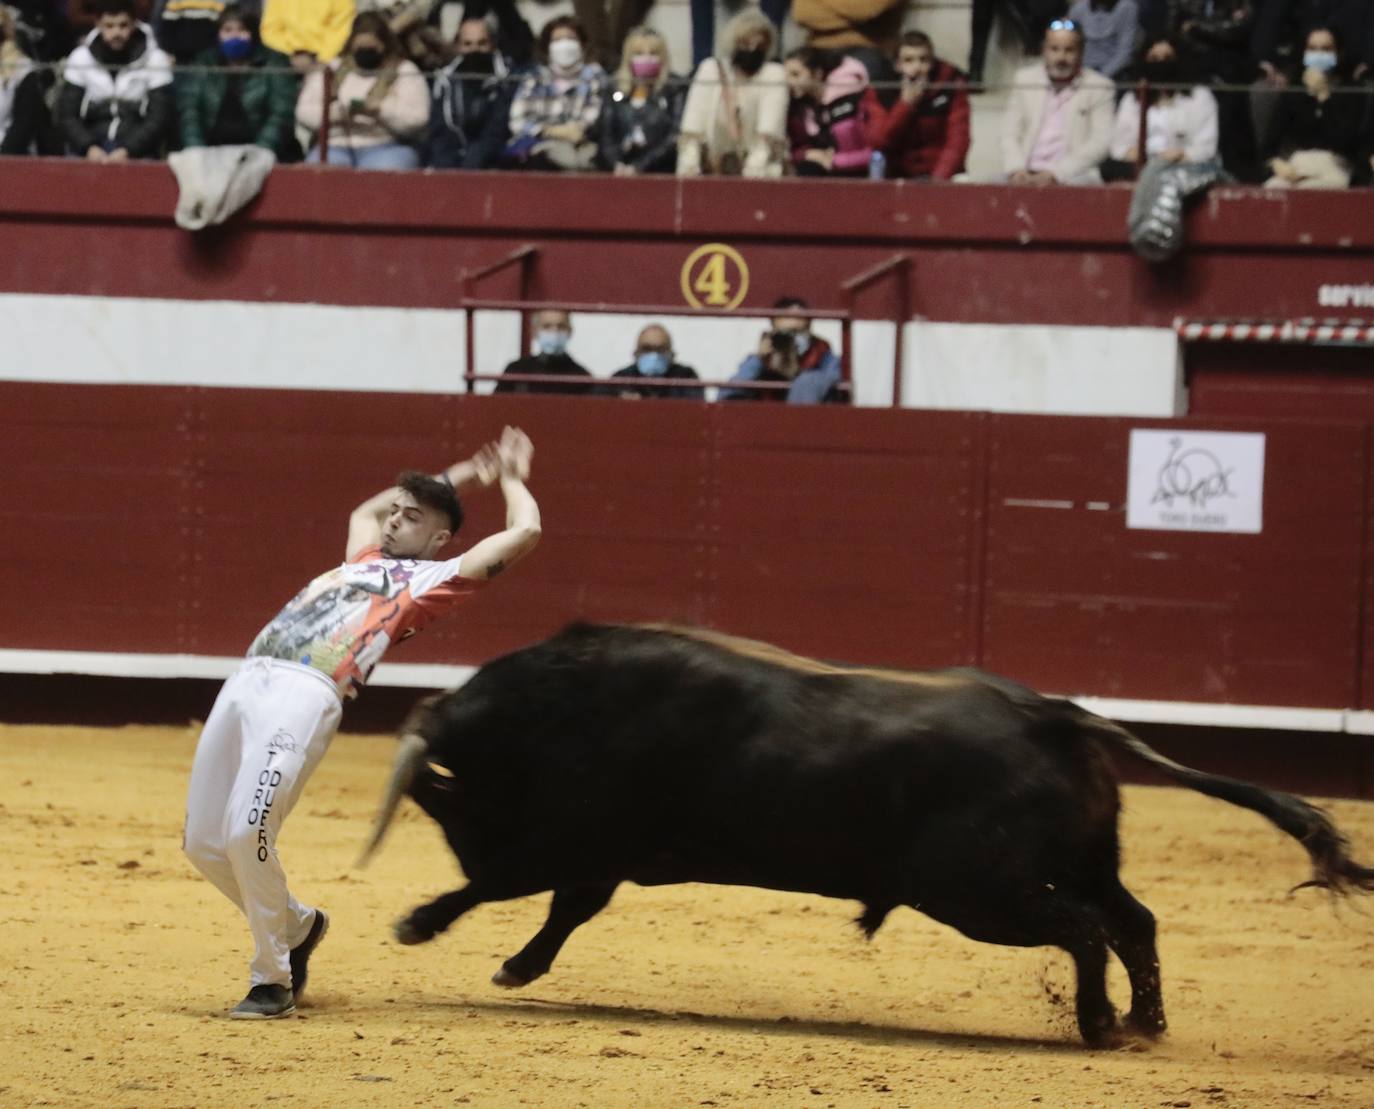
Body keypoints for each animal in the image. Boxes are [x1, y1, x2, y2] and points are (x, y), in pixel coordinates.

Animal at [365, 629, 1374, 1044]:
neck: (550, 710)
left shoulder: (571, 835)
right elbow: (559, 906)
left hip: (979, 893)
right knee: (1133, 923)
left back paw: (1096, 1026)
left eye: (455, 814)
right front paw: (515, 965)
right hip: (1074, 865)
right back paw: (1143, 1022)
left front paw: (419, 923)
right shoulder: (603, 855)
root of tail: (1058, 713)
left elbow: (506, 883)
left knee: (1089, 931)